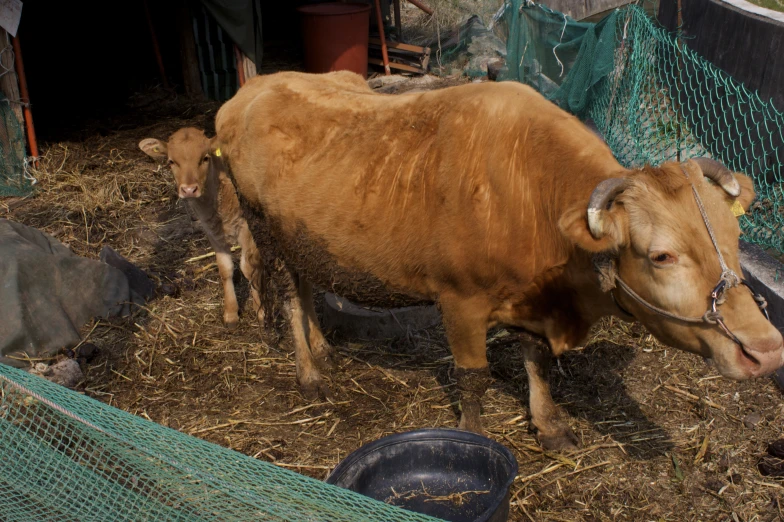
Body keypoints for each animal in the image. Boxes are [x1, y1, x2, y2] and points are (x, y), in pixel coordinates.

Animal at [214, 71, 784, 448]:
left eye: (735, 237)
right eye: (661, 255)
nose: (766, 349)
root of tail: (251, 89)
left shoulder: (534, 305)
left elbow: (536, 361)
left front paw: (549, 423)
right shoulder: (459, 301)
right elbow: (474, 378)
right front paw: (474, 438)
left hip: (305, 238)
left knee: (307, 288)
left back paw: (322, 347)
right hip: (265, 230)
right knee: (289, 296)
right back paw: (308, 370)